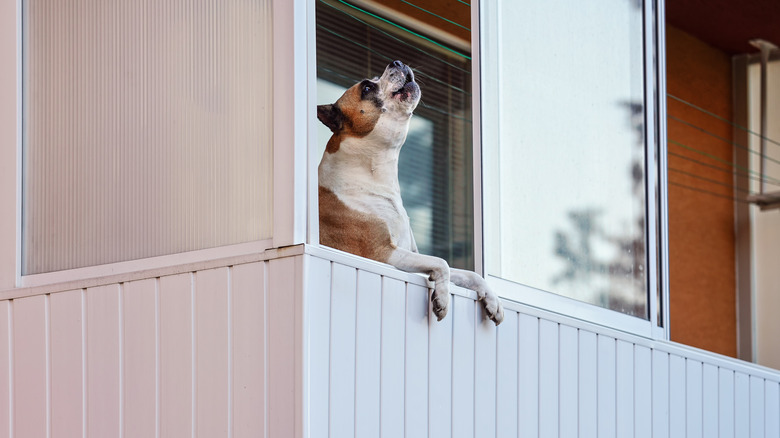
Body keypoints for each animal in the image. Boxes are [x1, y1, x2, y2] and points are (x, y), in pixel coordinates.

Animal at [318, 60, 506, 324]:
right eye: (366, 88)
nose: (396, 62)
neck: (374, 174)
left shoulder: (409, 253)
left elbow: (469, 274)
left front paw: (492, 300)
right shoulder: (383, 254)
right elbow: (442, 262)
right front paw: (442, 298)